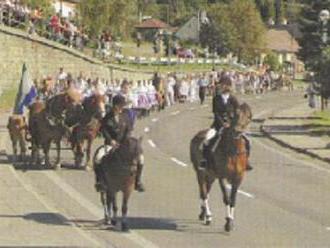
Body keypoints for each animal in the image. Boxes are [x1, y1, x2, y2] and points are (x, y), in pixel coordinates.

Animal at [189, 101, 251, 232]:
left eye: (248, 117)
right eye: (235, 115)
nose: (237, 131)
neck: (233, 151)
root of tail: (198, 135)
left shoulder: (238, 178)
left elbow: (233, 200)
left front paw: (231, 222)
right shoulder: (222, 176)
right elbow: (226, 198)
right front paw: (227, 223)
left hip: (211, 176)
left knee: (206, 192)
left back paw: (203, 214)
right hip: (200, 173)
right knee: (203, 193)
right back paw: (208, 216)